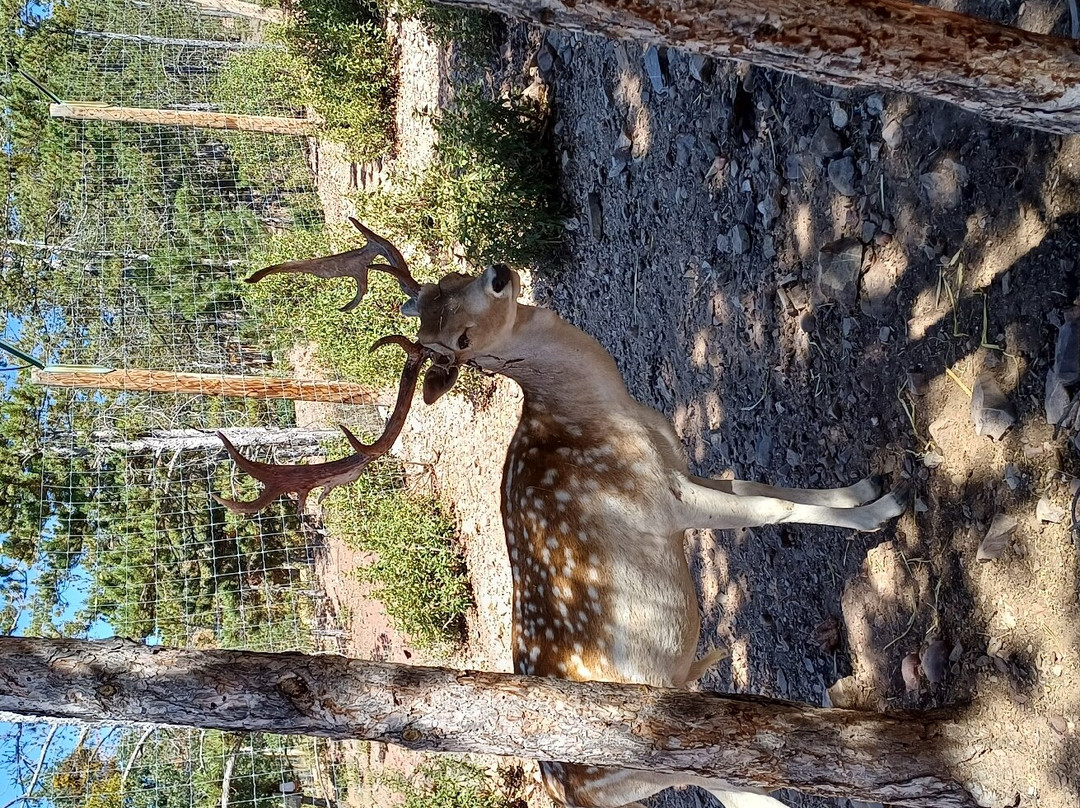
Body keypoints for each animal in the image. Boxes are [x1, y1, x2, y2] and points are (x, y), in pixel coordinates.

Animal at [217, 219, 911, 808]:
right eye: (459, 341)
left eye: (451, 280)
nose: (499, 273)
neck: (606, 410)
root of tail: (569, 791)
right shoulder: (661, 501)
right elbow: (771, 506)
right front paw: (884, 510)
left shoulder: (682, 465)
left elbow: (760, 481)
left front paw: (866, 484)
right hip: (660, 761)